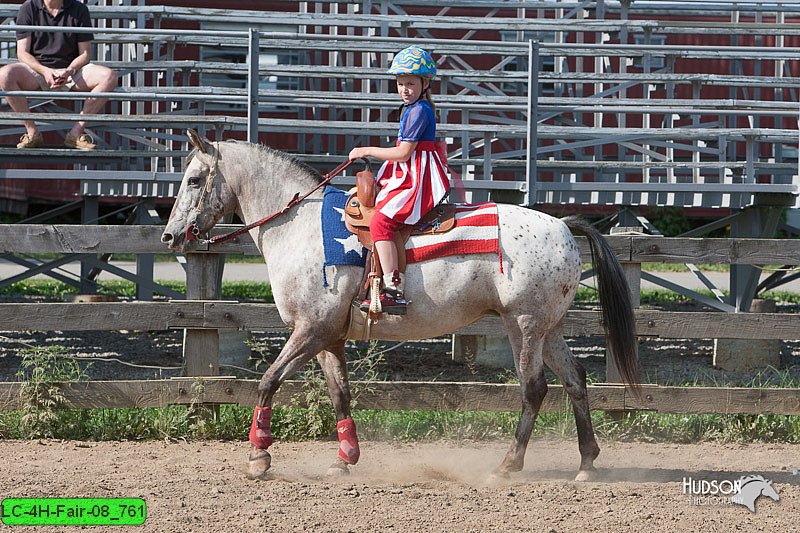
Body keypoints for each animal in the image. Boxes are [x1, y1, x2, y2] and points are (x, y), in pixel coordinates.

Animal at [161, 130, 636, 482]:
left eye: (193, 180)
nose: (169, 236)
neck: (300, 226)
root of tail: (563, 225)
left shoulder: (310, 329)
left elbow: (267, 382)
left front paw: (258, 458)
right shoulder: (328, 337)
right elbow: (340, 394)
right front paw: (345, 458)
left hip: (524, 325)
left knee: (534, 388)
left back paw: (508, 465)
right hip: (548, 328)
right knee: (575, 380)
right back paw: (587, 463)